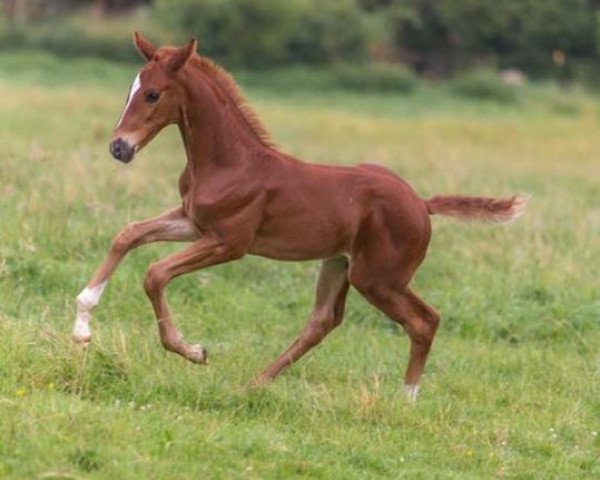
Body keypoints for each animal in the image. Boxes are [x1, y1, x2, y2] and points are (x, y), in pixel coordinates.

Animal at [74, 33, 524, 400]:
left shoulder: (229, 242)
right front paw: (82, 324)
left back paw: (406, 398)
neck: (230, 161)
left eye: (152, 94)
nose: (119, 147)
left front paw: (194, 351)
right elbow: (128, 234)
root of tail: (422, 203)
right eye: (130, 91)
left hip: (378, 277)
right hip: (339, 263)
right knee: (323, 321)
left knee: (425, 320)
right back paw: (255, 383)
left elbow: (155, 274)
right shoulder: (193, 222)